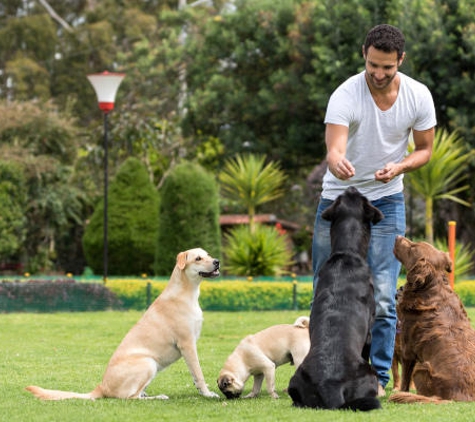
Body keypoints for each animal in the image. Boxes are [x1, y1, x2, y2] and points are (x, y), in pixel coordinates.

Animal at [25, 249, 220, 400]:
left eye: (208, 255)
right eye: (198, 258)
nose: (217, 262)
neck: (185, 292)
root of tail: (102, 386)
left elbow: (195, 375)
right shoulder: (187, 344)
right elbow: (199, 373)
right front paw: (207, 393)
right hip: (149, 363)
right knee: (131, 397)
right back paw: (158, 397)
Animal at [286, 188, 384, 412]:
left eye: (342, 197)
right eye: (363, 198)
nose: (351, 188)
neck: (347, 254)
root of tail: (329, 384)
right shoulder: (369, 333)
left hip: (294, 380)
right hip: (369, 373)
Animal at [390, 236, 475, 404]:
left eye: (413, 247)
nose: (397, 236)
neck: (431, 288)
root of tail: (456, 398)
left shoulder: (407, 349)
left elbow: (404, 380)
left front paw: (402, 391)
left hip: (421, 367)